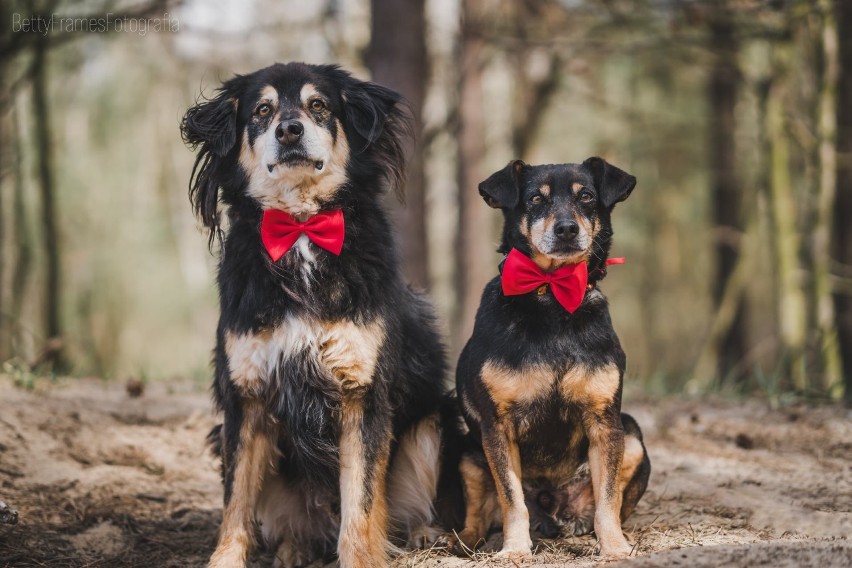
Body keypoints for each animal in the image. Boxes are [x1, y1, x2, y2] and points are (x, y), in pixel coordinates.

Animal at [181, 63, 450, 568]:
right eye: (261, 111)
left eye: (319, 105)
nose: (289, 129)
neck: (301, 229)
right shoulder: (246, 397)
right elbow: (235, 503)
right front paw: (225, 559)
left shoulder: (360, 391)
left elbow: (361, 504)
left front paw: (362, 559)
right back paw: (295, 548)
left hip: (436, 421)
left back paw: (426, 534)